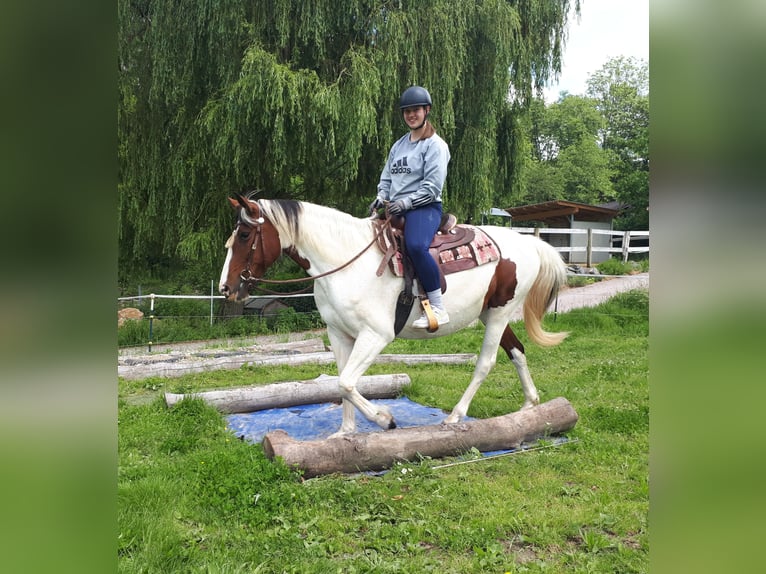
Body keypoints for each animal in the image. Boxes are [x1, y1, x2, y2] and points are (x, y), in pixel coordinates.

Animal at [218, 196, 568, 438]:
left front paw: (385, 419)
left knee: (486, 362)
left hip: (498, 315)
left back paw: (456, 416)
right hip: (491, 313)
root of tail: (527, 241)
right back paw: (530, 405)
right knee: (517, 351)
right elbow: (341, 383)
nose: (226, 288)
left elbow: (346, 382)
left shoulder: (376, 335)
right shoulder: (338, 334)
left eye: (245, 235)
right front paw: (345, 433)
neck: (346, 262)